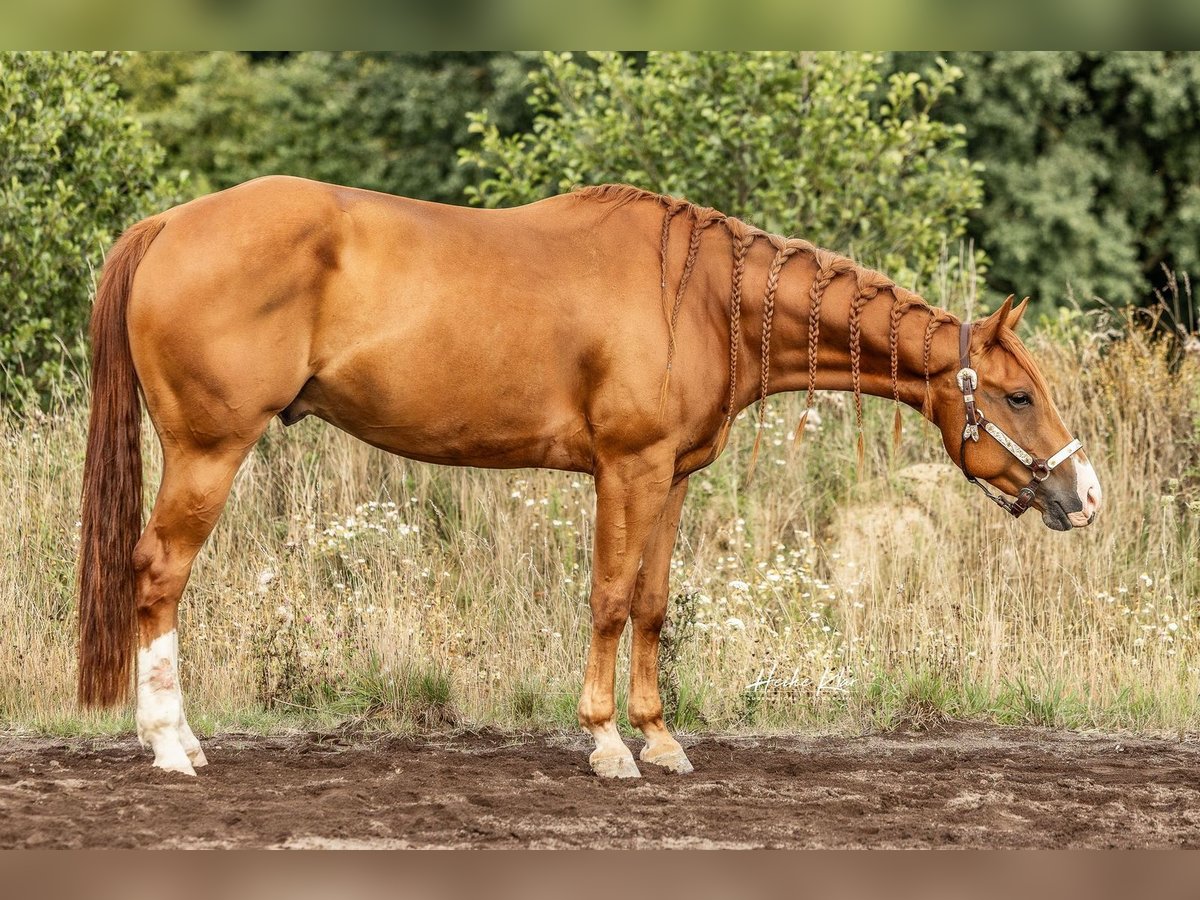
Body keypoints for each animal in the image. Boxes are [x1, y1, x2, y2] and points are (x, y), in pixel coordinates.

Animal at [77, 177, 1102, 778]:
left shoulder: (674, 476)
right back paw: (170, 746)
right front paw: (609, 742)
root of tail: (168, 223)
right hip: (209, 452)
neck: (701, 297)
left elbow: (651, 603)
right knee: (159, 573)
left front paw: (661, 736)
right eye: (1016, 395)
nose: (1085, 495)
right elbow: (609, 598)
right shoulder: (627, 468)